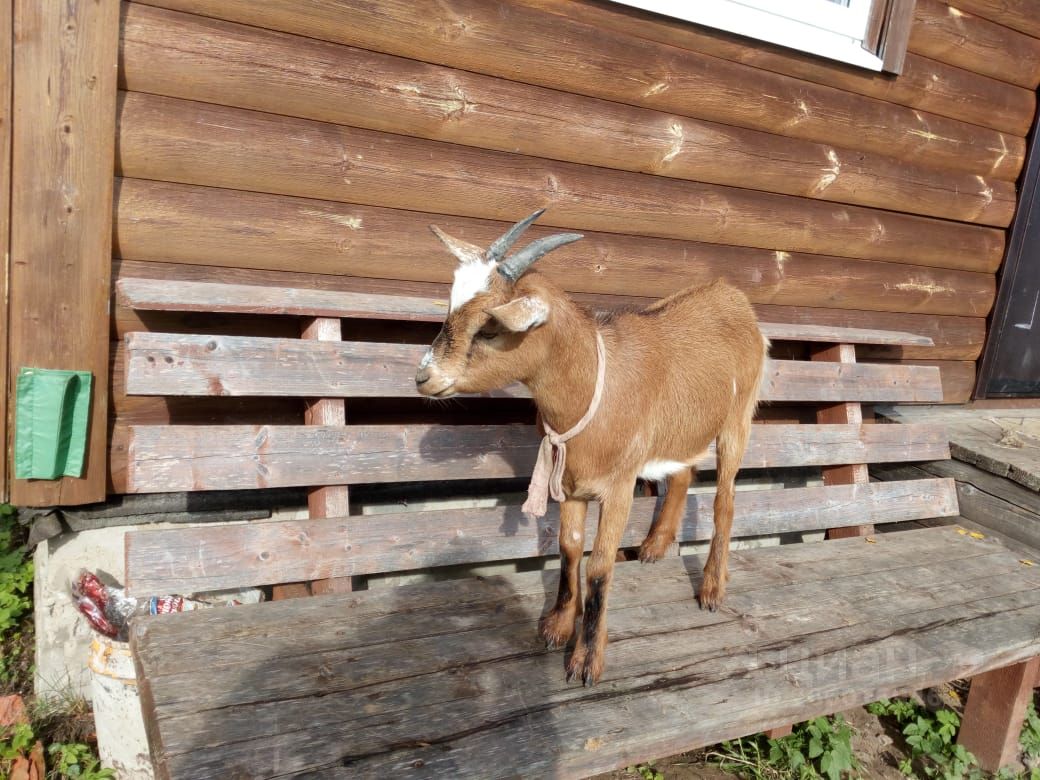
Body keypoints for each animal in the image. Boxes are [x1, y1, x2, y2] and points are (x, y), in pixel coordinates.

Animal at [411, 211, 765, 686]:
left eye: (490, 328)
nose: (424, 377)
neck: (593, 380)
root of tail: (731, 293)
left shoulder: (619, 486)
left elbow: (599, 567)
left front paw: (586, 660)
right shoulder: (571, 482)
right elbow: (569, 548)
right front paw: (558, 626)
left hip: (737, 419)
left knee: (725, 499)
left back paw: (711, 587)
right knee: (683, 471)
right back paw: (655, 547)